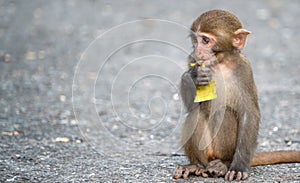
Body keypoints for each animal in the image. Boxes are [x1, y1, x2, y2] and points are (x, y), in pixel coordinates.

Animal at [173, 10, 300, 182]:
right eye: (195, 40)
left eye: (205, 40)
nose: (198, 51)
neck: (221, 63)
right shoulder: (191, 59)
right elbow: (191, 106)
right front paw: (193, 77)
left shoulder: (244, 70)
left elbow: (249, 114)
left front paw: (238, 167)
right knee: (196, 113)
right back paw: (196, 166)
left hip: (226, 150)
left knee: (224, 113)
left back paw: (223, 165)